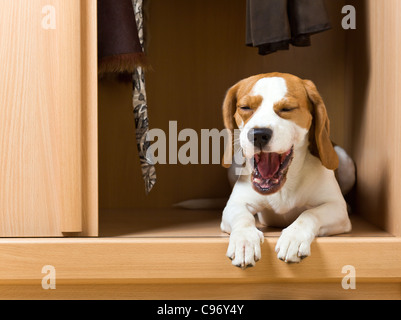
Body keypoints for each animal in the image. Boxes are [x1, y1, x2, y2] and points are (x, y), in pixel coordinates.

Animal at [222, 72, 354, 268]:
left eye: (287, 108)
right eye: (245, 107)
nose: (258, 134)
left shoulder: (336, 209)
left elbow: (309, 214)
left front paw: (294, 237)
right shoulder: (234, 205)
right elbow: (243, 218)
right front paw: (244, 241)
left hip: (346, 162)